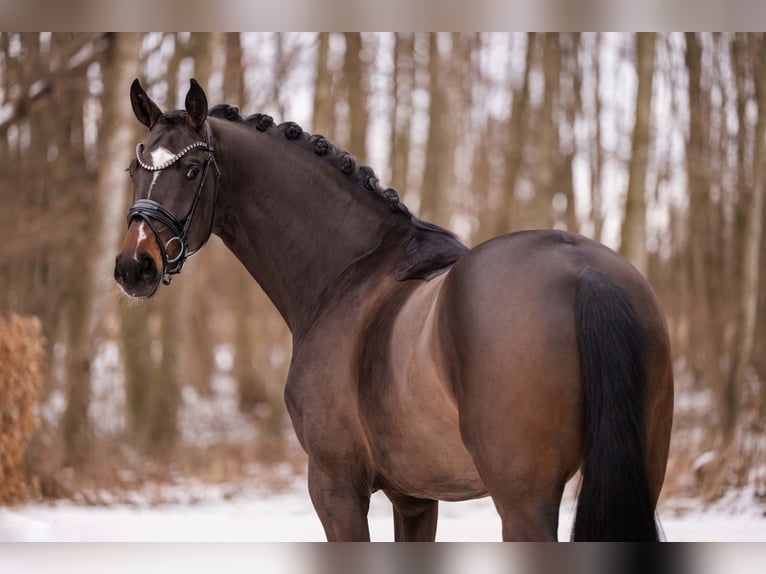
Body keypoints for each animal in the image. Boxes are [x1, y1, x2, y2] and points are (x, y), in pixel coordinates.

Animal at [114, 79, 674, 541]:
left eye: (191, 170)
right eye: (133, 168)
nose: (133, 267)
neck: (347, 273)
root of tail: (583, 270)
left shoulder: (336, 486)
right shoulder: (416, 498)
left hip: (523, 501)